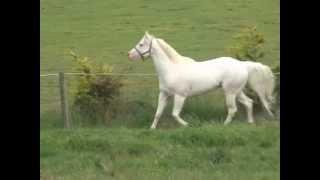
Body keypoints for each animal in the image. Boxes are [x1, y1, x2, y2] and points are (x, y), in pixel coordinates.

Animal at [127, 31, 276, 129]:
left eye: (141, 44)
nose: (129, 55)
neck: (171, 69)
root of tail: (242, 65)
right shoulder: (164, 94)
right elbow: (158, 113)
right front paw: (152, 129)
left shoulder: (180, 96)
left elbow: (175, 114)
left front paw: (187, 125)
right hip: (237, 92)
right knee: (249, 103)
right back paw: (250, 123)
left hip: (230, 92)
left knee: (233, 109)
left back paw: (224, 125)